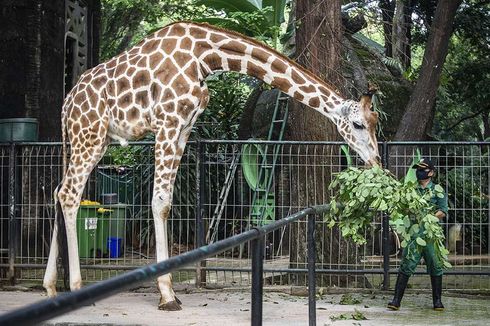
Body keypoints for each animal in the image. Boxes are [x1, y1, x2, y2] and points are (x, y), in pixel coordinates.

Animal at [42, 20, 378, 310]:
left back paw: (51, 286)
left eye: (376, 124)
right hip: (90, 136)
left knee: (59, 190)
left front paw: (167, 291)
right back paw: (76, 287)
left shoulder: (184, 128)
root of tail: (66, 104)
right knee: (69, 194)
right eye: (358, 124)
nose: (375, 160)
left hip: (87, 141)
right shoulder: (167, 122)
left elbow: (166, 202)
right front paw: (167, 295)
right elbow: (159, 200)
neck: (205, 55)